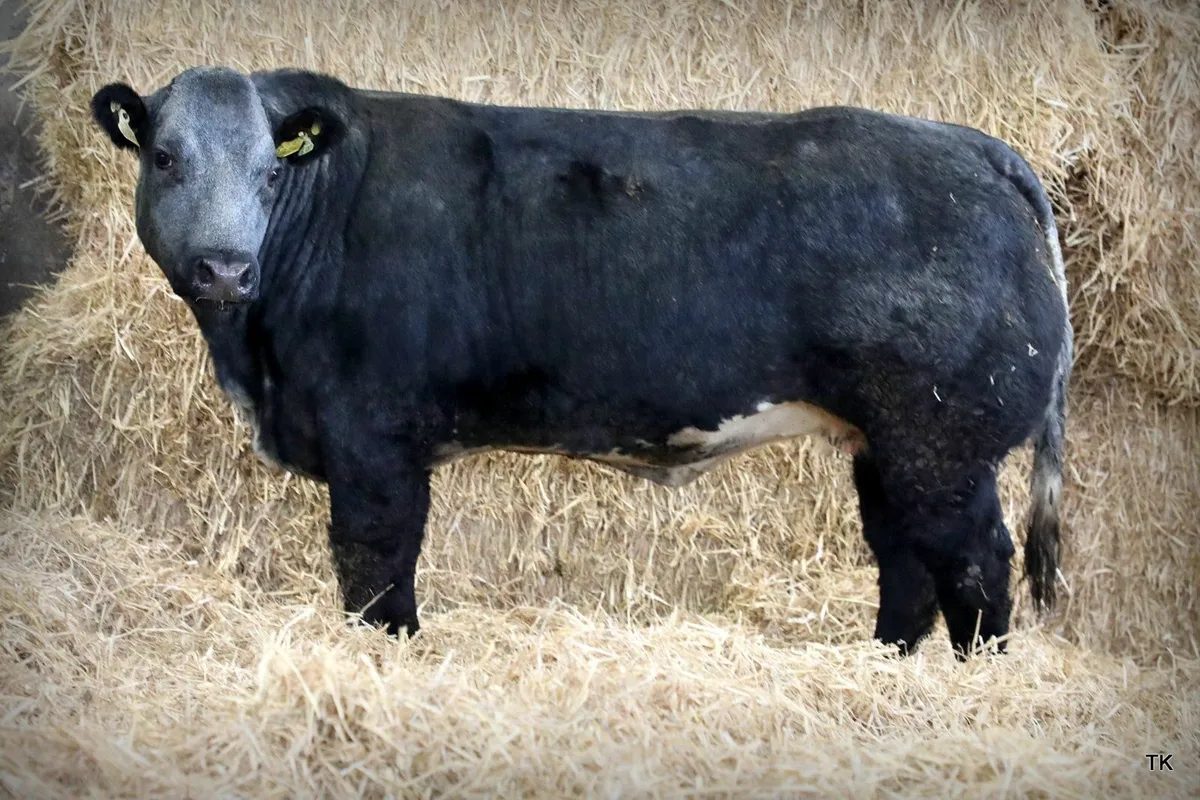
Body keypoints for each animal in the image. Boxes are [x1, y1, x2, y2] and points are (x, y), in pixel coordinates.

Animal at [90, 66, 1072, 659]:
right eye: (166, 157)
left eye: (269, 172)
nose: (224, 267)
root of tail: (978, 147)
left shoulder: (373, 441)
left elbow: (376, 569)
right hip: (889, 442)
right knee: (905, 559)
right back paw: (888, 667)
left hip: (944, 439)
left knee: (976, 564)